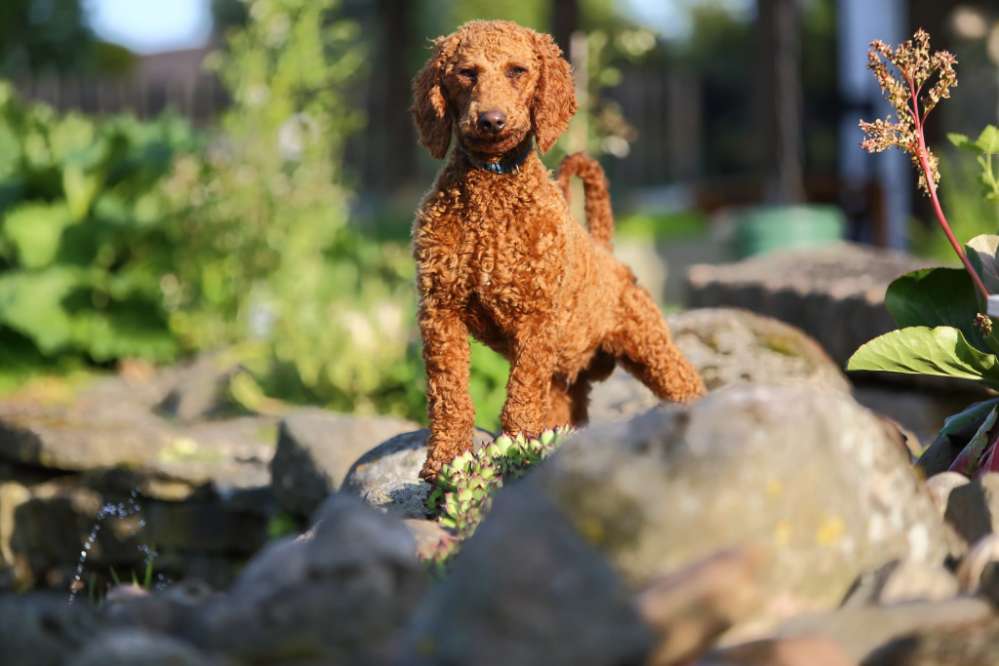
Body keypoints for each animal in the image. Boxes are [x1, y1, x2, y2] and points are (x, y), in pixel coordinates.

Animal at [410, 19, 708, 478]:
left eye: (517, 71)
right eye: (467, 73)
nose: (491, 120)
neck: (492, 194)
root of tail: (605, 251)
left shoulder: (534, 321)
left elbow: (519, 398)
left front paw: (512, 452)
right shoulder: (441, 312)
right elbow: (449, 397)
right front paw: (445, 462)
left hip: (648, 343)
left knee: (686, 383)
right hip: (566, 382)